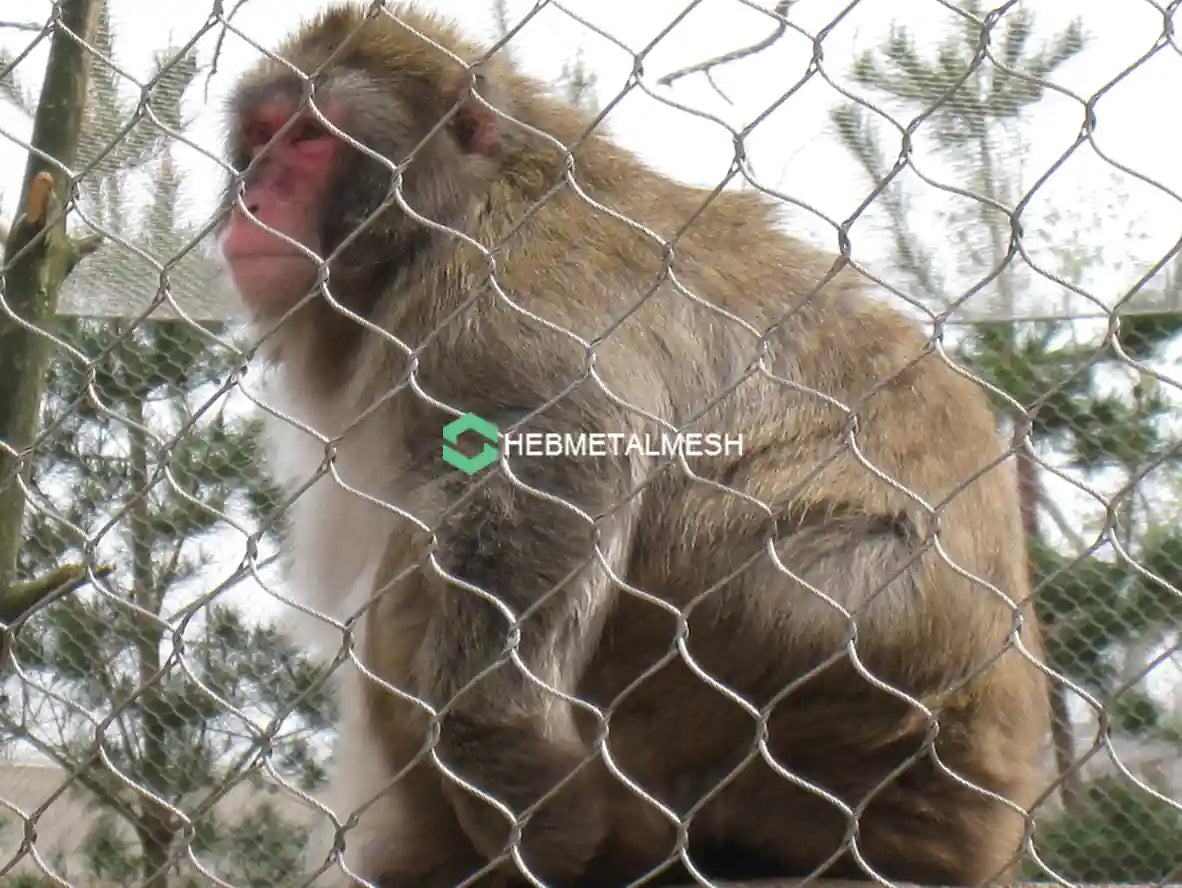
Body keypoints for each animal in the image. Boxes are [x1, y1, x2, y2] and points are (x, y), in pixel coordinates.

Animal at [217, 4, 1051, 887]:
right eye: (262, 136)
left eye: (310, 139)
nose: (255, 197)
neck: (453, 213)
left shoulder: (493, 301)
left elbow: (564, 464)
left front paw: (527, 805)